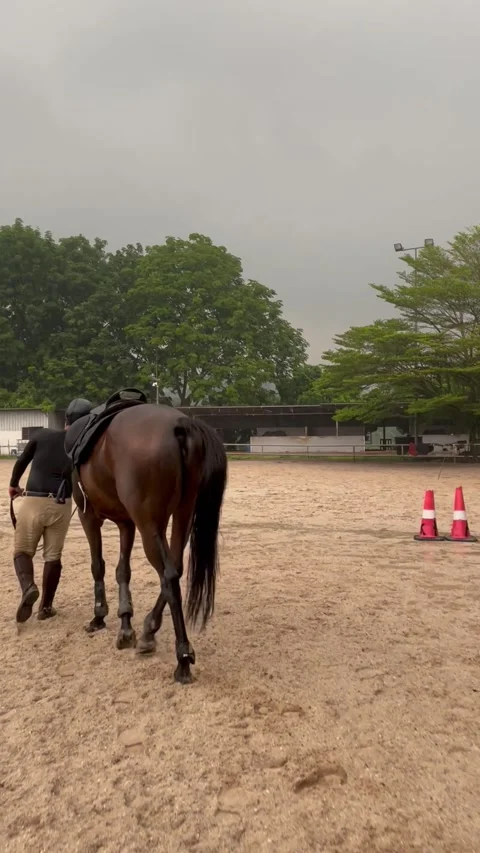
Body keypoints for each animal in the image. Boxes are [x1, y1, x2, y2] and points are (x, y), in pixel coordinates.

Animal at [72, 403, 227, 684]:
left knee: (168, 576)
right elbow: (123, 571)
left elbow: (97, 565)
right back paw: (148, 633)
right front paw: (126, 625)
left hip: (149, 524)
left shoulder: (87, 514)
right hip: (182, 514)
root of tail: (180, 424)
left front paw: (99, 616)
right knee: (175, 569)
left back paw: (182, 658)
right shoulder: (126, 523)